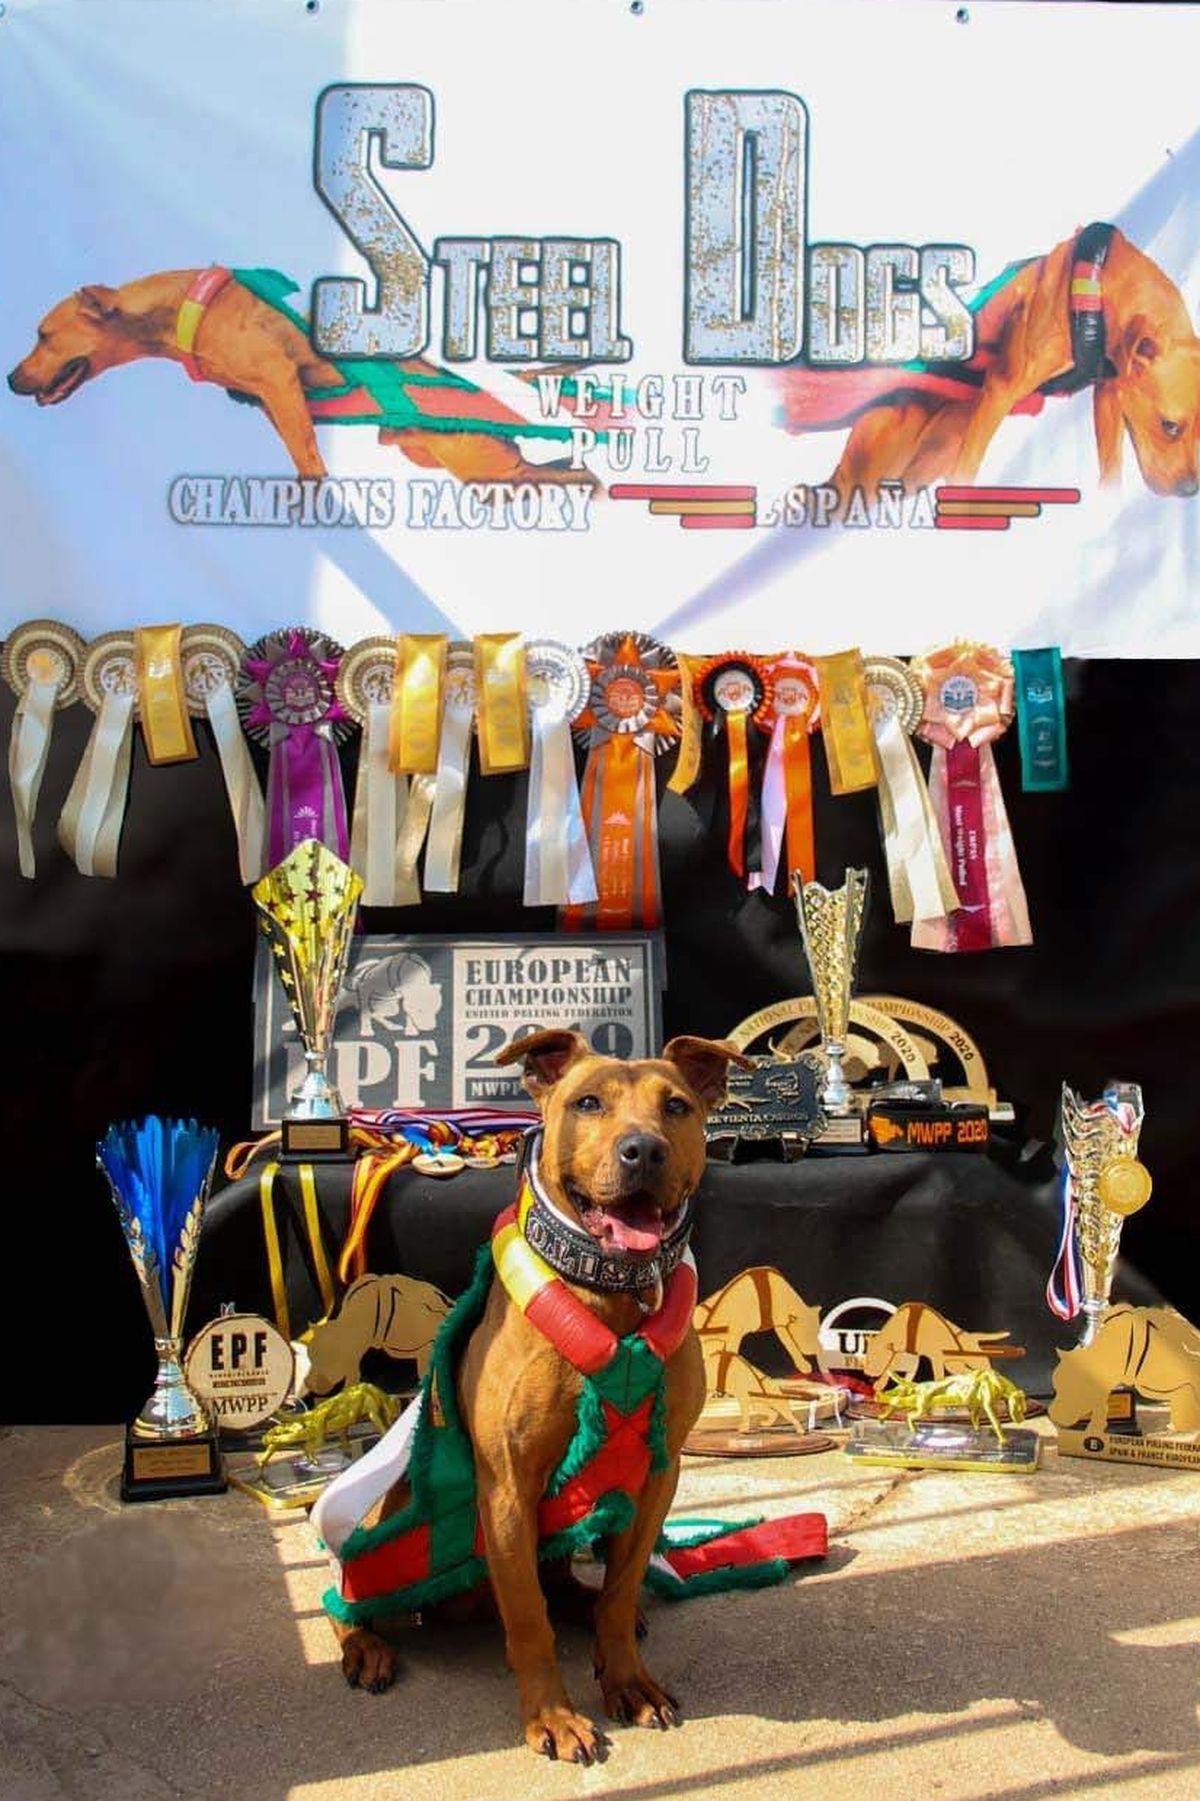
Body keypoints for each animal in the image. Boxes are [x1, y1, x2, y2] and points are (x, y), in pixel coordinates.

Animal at [5, 270, 587, 489]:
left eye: (42, 334)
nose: (9, 379)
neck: (188, 307)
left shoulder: (280, 380)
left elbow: (307, 461)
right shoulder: (271, 398)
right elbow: (297, 444)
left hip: (479, 463)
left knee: (545, 475)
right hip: (440, 456)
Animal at [331, 1030, 742, 1757]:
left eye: (677, 1106)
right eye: (587, 1102)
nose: (644, 1150)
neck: (614, 1292)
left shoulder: (657, 1477)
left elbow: (620, 1590)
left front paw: (626, 1679)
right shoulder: (507, 1489)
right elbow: (527, 1620)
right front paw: (550, 1714)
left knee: (574, 1586)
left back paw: (586, 1604)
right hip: (393, 1533)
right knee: (350, 1590)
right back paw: (365, 1645)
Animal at [828, 230, 1196, 507]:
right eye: (1169, 426)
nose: (1190, 490)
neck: (1102, 283)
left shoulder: (1108, 395)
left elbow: (1110, 470)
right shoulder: (1001, 390)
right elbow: (968, 470)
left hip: (924, 462)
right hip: (868, 467)